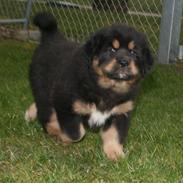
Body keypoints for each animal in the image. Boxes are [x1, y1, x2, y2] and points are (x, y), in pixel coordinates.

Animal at [24, 12, 153, 160]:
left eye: (133, 52)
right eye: (111, 49)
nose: (124, 62)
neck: (107, 89)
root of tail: (51, 37)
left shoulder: (121, 112)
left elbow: (114, 135)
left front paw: (115, 154)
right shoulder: (65, 102)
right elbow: (76, 133)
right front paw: (64, 137)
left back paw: (30, 114)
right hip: (44, 89)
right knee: (46, 112)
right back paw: (53, 130)